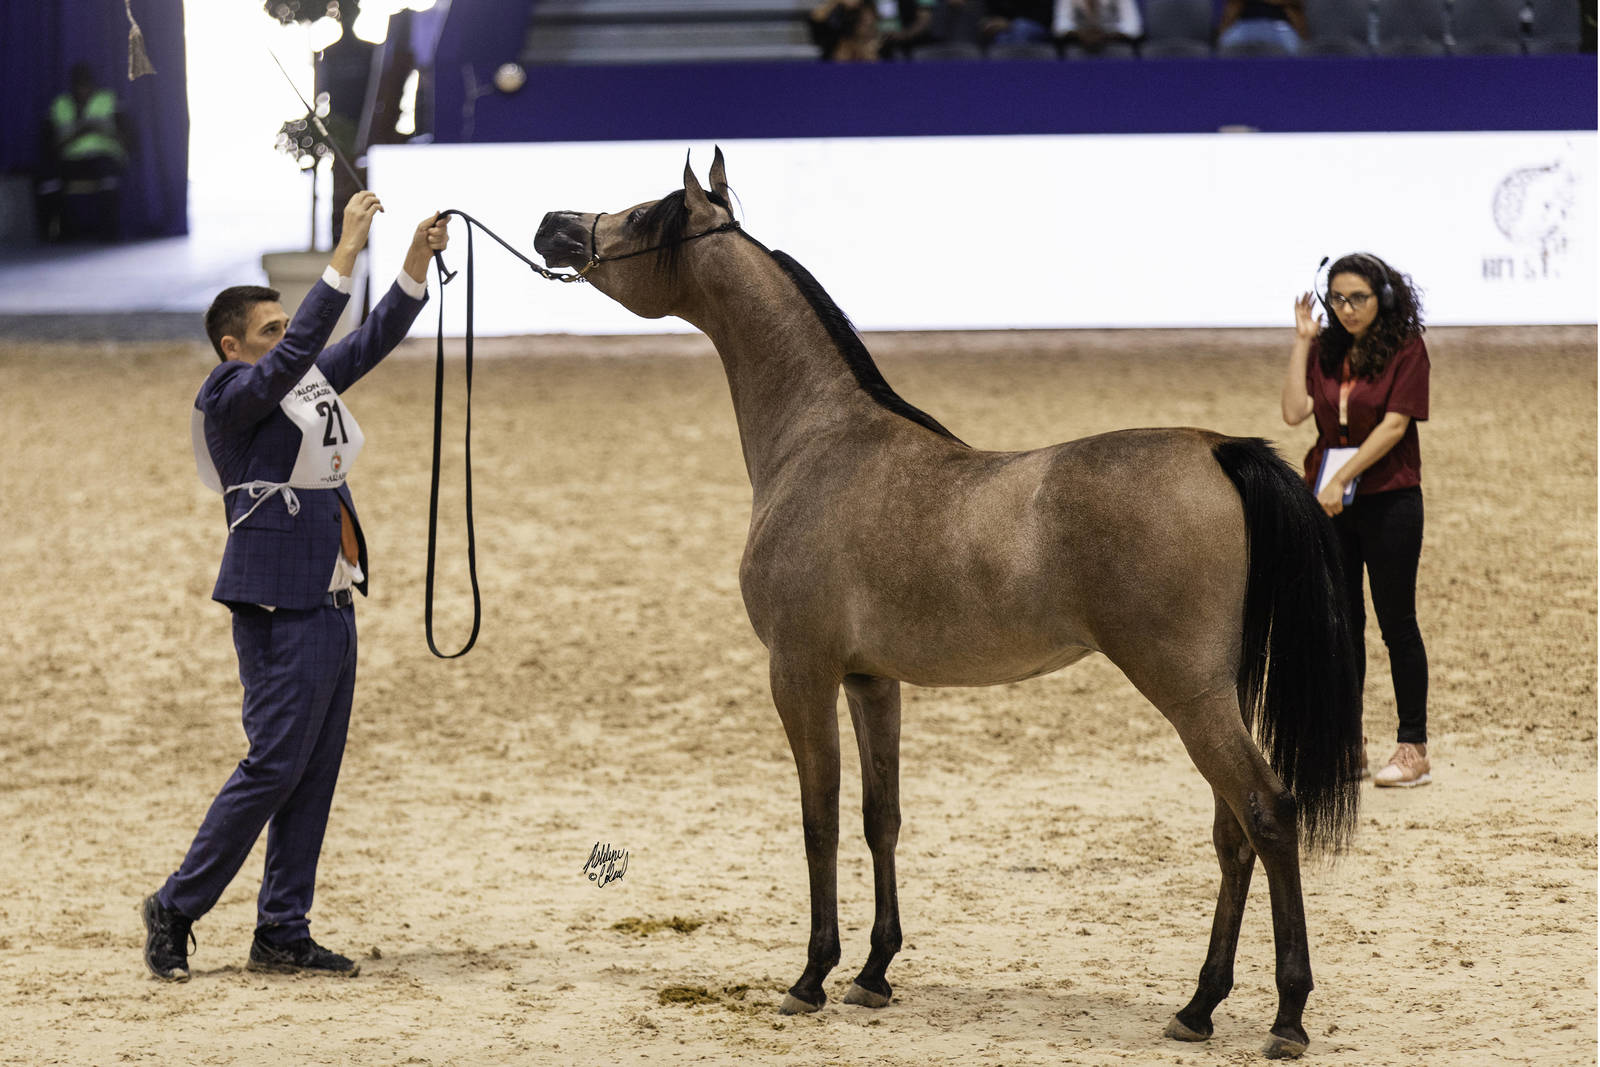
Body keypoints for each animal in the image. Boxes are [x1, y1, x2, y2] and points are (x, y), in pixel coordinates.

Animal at [533, 150, 1362, 1059]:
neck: (821, 442)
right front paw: (872, 972)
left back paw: (1286, 1015)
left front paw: (811, 977)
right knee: (1231, 834)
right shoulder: (870, 678)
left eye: (642, 215)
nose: (553, 226)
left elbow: (819, 819)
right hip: (1211, 696)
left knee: (1268, 814)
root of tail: (1218, 451)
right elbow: (880, 816)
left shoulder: (800, 672)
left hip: (1188, 693)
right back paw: (1199, 1004)